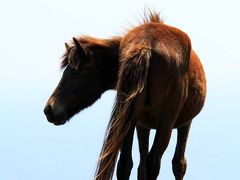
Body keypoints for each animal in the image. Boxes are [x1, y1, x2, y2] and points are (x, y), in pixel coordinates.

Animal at [43, 11, 206, 180]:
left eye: (78, 71)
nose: (49, 109)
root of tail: (145, 45)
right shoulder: (178, 123)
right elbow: (177, 164)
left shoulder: (142, 123)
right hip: (163, 123)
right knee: (151, 162)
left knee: (128, 164)